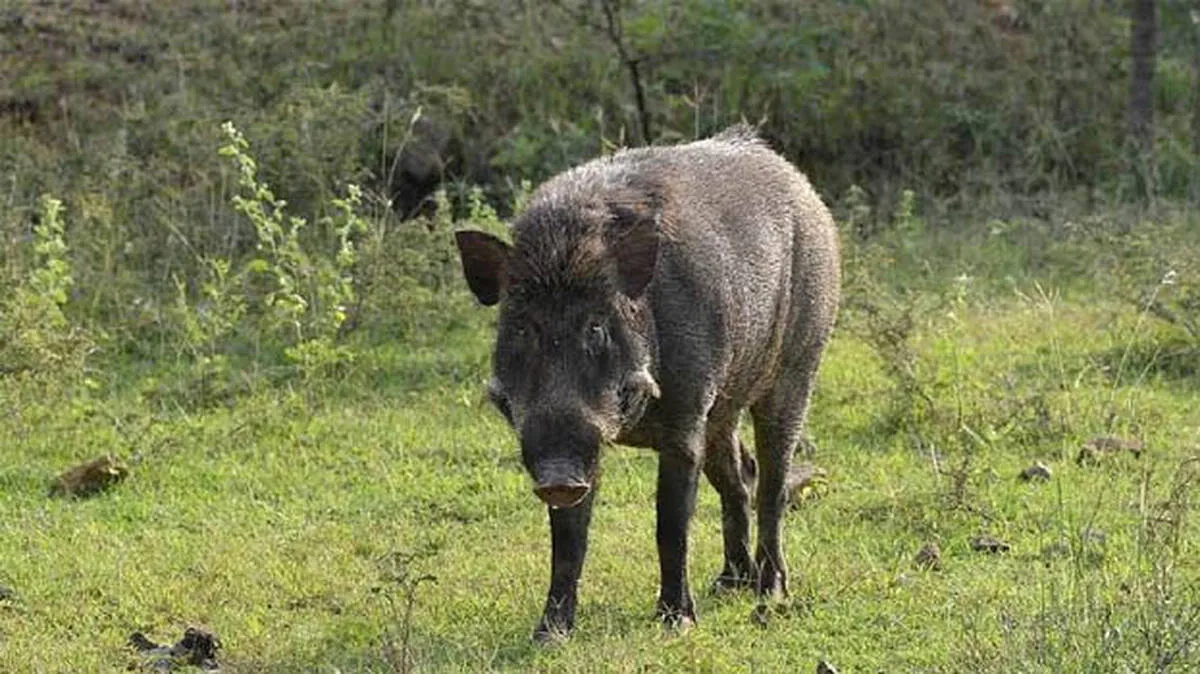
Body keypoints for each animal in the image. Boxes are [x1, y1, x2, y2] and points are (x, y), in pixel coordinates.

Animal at [454, 125, 839, 640]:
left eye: (596, 327)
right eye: (521, 327)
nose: (558, 477)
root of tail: (803, 188)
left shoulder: (685, 412)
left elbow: (670, 523)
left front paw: (677, 623)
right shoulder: (591, 443)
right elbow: (568, 539)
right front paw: (549, 635)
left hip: (799, 365)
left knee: (771, 483)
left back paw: (769, 591)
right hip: (723, 408)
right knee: (740, 476)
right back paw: (729, 584)